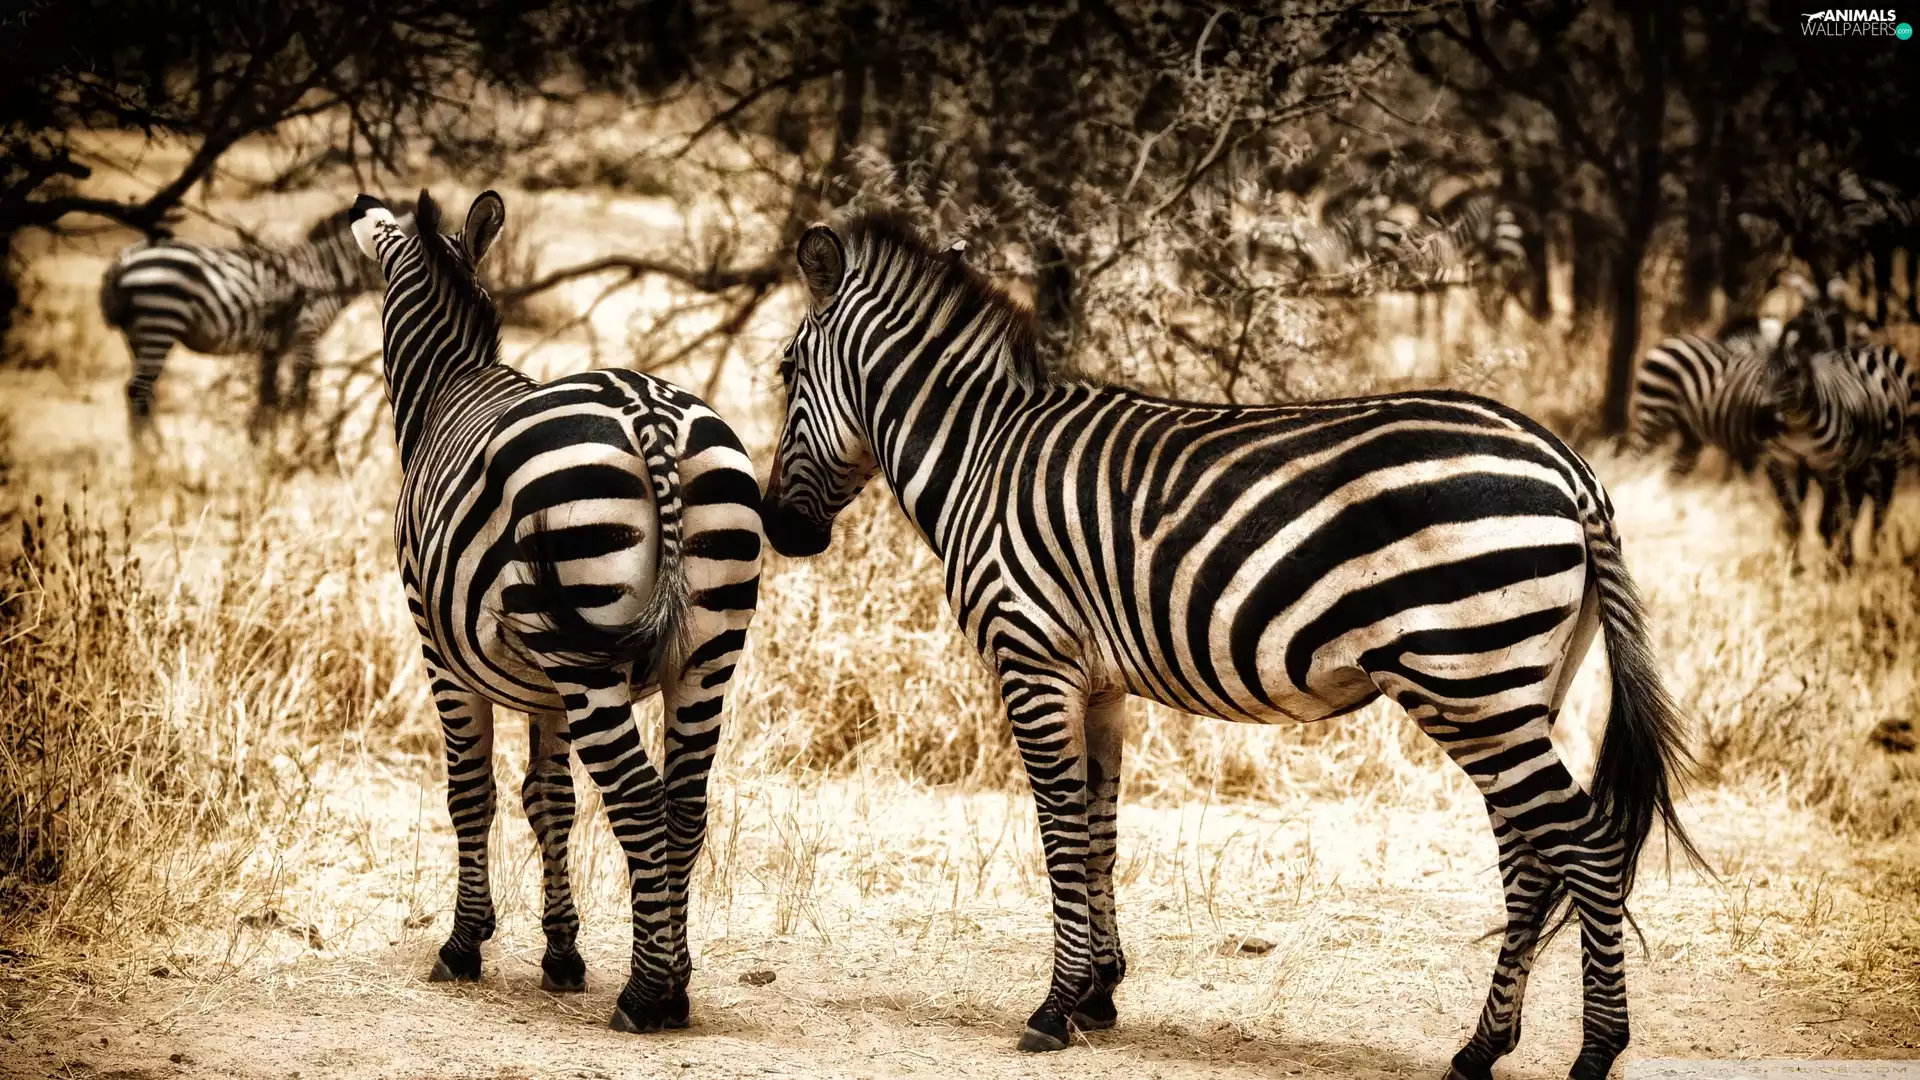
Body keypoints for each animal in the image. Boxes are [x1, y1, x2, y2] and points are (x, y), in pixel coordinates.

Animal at [98, 204, 411, 437]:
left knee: (142, 395)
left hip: (138, 335)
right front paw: (297, 443)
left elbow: (268, 398)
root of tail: (122, 262)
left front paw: (263, 448)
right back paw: (152, 461)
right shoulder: (305, 334)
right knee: (139, 391)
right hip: (159, 323)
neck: (326, 273)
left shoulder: (272, 347)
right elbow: (299, 396)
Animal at [347, 190, 763, 1031]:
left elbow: (470, 794)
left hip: (585, 649)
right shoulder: (545, 690)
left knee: (636, 797)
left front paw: (464, 944)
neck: (447, 388)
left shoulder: (438, 649)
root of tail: (650, 415)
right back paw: (678, 981)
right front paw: (562, 953)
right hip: (706, 646)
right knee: (684, 803)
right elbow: (550, 803)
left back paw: (646, 994)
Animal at [760, 213, 1701, 1080]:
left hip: (1471, 682)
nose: (779, 529)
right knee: (1532, 859)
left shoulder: (1033, 658)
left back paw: (1596, 1050)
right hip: (1514, 688)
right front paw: (1101, 993)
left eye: (784, 373)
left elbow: (1058, 830)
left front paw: (1053, 1007)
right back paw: (1480, 1048)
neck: (980, 456)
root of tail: (1569, 467)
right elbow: (1099, 830)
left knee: (1586, 845)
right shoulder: (1098, 682)